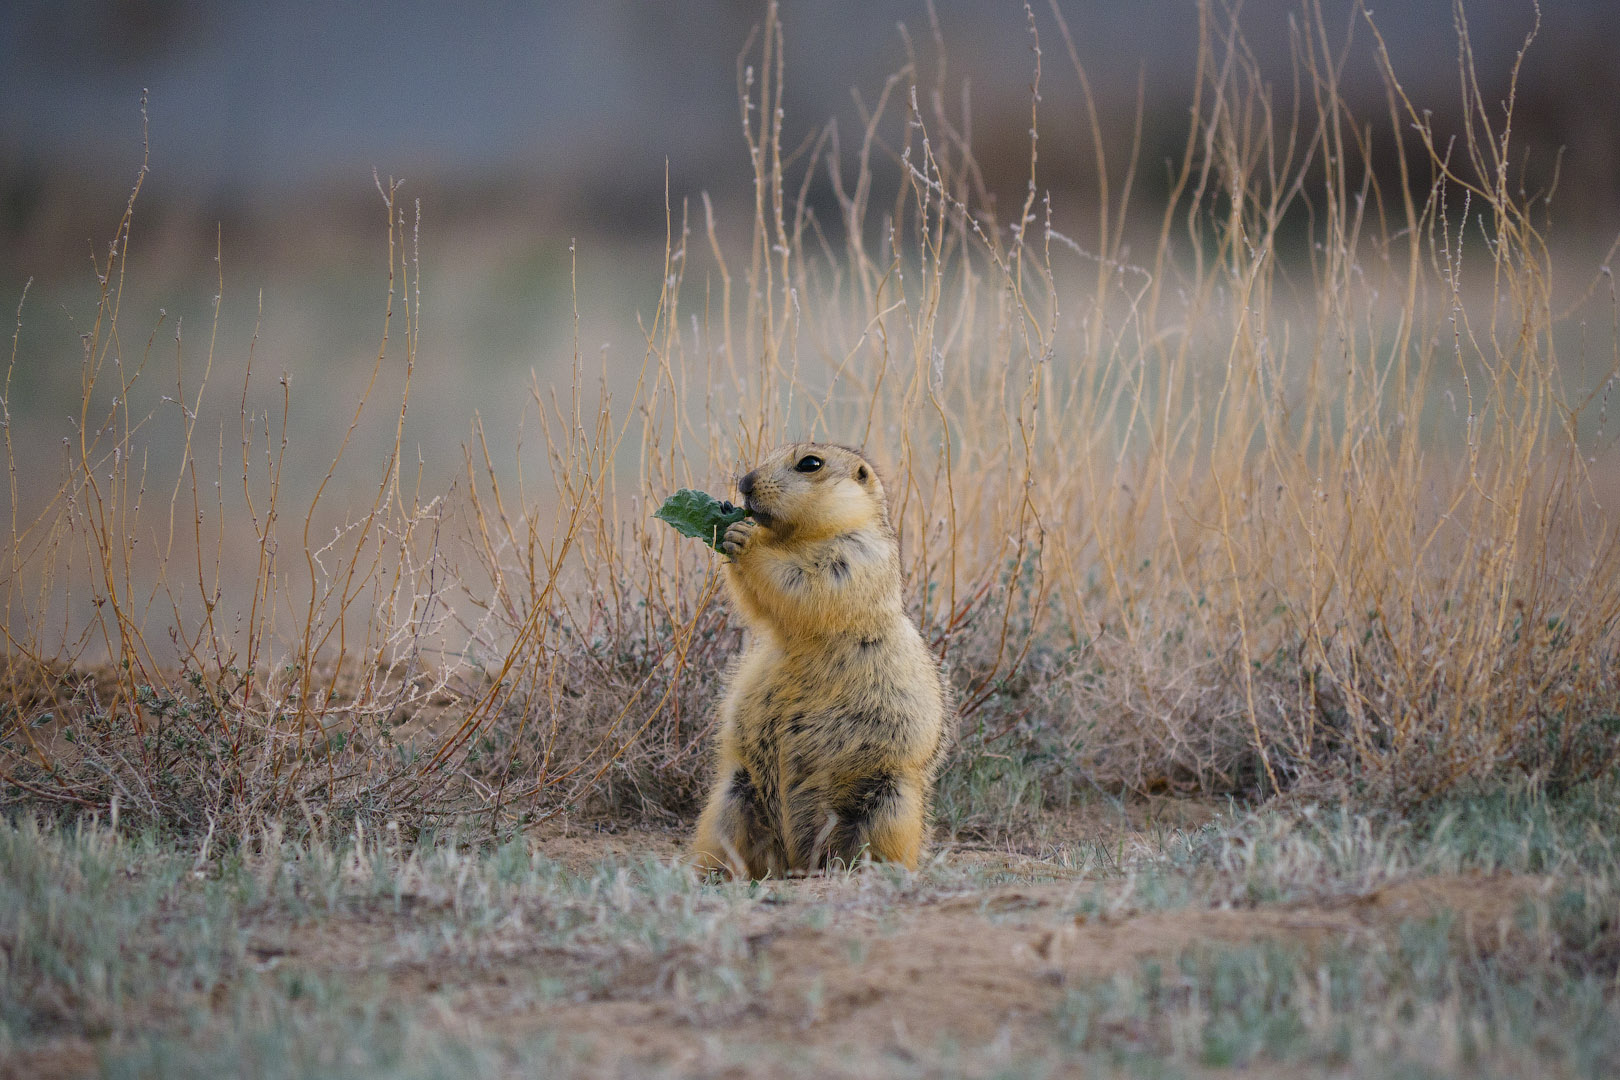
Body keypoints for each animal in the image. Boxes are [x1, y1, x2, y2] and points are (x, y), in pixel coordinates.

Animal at [693, 443, 946, 874]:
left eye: (810, 463)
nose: (744, 482)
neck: (798, 537)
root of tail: (798, 859)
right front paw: (727, 530)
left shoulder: (855, 555)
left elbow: (805, 582)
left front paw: (746, 537)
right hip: (734, 795)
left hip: (890, 800)